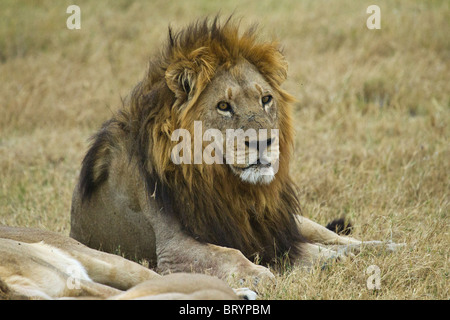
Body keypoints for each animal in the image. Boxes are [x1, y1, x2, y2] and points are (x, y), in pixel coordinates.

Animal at [70, 16, 404, 282]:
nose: (263, 141)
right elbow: (230, 254)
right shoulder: (171, 250)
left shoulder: (272, 230)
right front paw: (262, 274)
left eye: (266, 99)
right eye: (223, 106)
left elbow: (316, 247)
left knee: (337, 237)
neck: (228, 187)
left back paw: (389, 246)